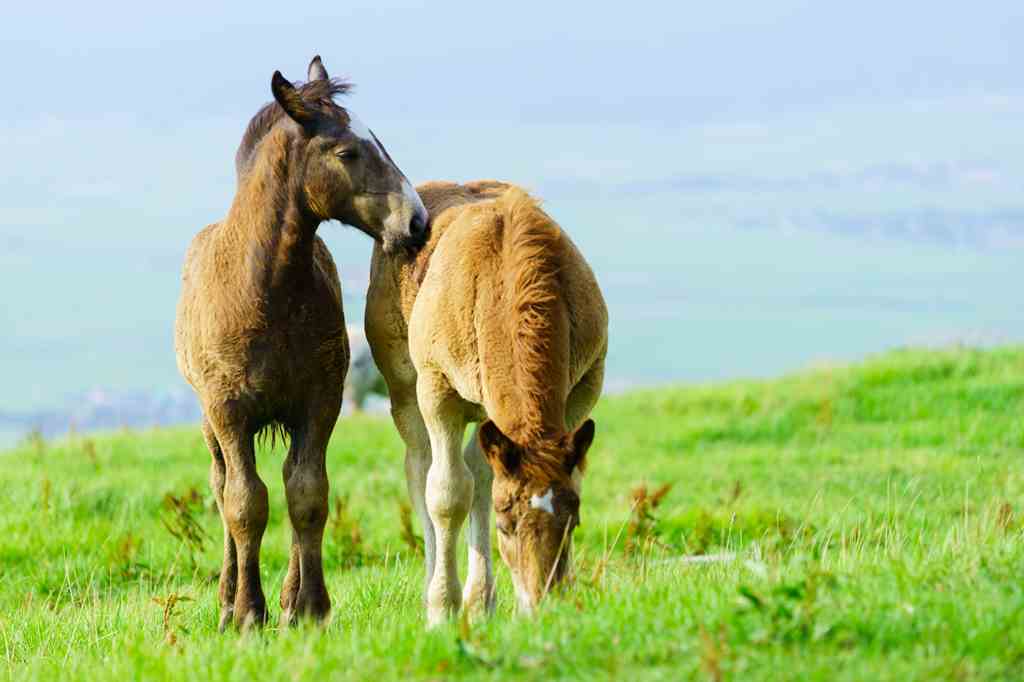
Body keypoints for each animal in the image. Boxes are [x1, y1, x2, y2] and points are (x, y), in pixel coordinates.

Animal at [174, 57, 425, 626]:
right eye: (347, 151)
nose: (417, 222)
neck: (264, 292)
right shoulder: (229, 412)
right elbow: (245, 503)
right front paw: (248, 613)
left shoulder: (319, 403)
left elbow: (307, 494)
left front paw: (307, 608)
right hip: (209, 423)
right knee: (220, 486)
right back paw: (226, 600)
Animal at [368, 179, 606, 622]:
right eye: (505, 526)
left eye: (574, 522)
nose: (540, 606)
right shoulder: (437, 390)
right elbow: (446, 494)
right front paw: (442, 609)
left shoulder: (586, 384)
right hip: (405, 391)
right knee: (420, 470)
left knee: (480, 473)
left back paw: (481, 601)